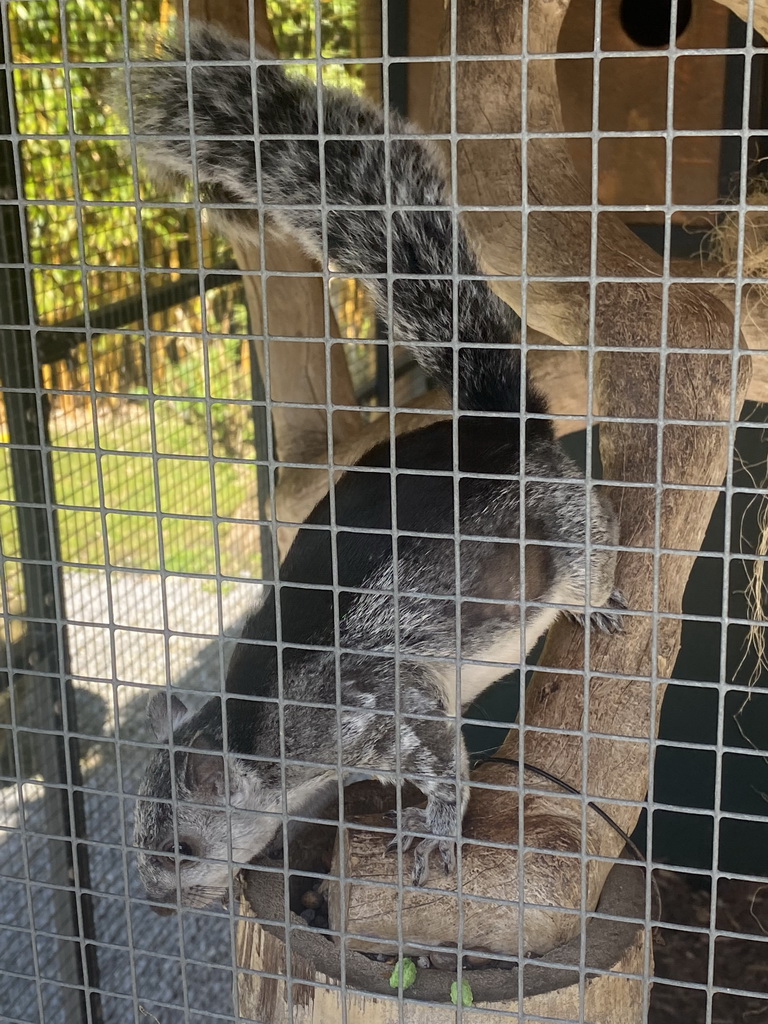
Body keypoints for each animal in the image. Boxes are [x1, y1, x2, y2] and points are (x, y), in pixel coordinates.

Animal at [121, 19, 626, 909]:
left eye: (183, 847)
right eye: (134, 844)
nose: (155, 902)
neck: (254, 732)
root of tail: (497, 428)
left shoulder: (367, 708)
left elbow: (434, 755)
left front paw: (434, 830)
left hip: (565, 525)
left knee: (594, 552)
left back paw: (597, 604)